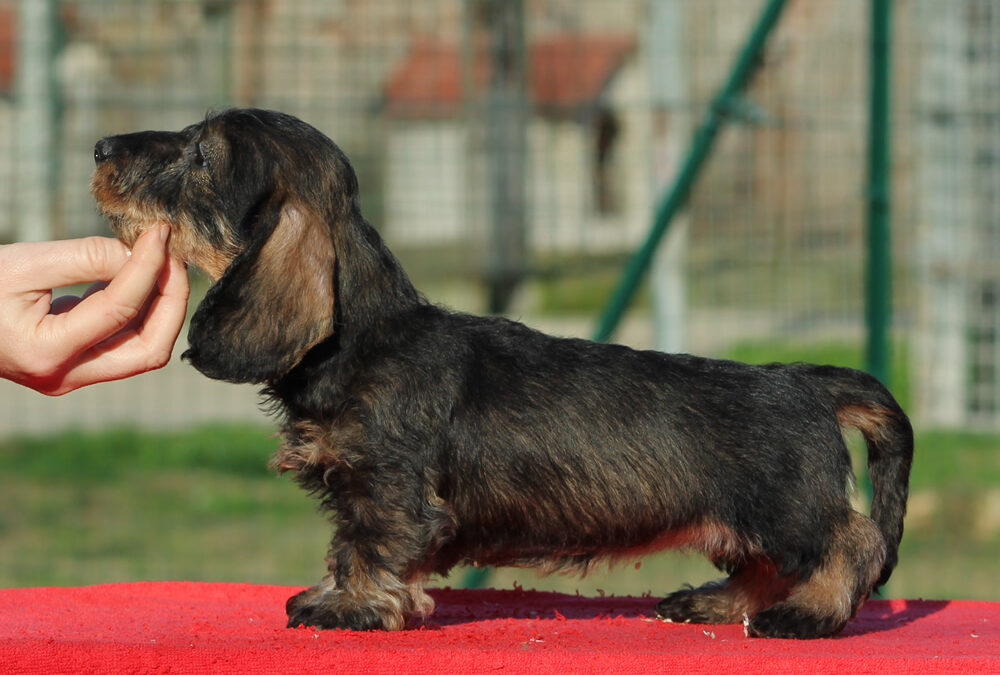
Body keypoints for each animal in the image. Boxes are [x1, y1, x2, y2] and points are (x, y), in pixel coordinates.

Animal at [92, 107, 916, 640]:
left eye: (202, 156)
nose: (100, 147)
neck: (360, 340)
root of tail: (803, 380)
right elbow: (344, 542)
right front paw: (333, 594)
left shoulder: (387, 488)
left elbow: (368, 543)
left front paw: (349, 607)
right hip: (741, 522)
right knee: (763, 566)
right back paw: (716, 603)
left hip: (786, 509)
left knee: (854, 544)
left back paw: (808, 614)